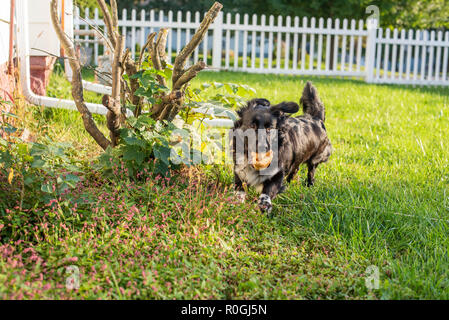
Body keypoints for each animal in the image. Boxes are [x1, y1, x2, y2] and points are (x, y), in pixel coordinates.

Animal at [233, 81, 330, 214]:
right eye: (252, 126)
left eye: (269, 128)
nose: (263, 147)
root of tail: (316, 118)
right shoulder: (239, 171)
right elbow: (239, 190)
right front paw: (236, 204)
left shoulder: (277, 174)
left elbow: (268, 191)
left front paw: (264, 206)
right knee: (295, 169)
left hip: (316, 157)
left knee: (311, 170)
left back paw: (309, 184)